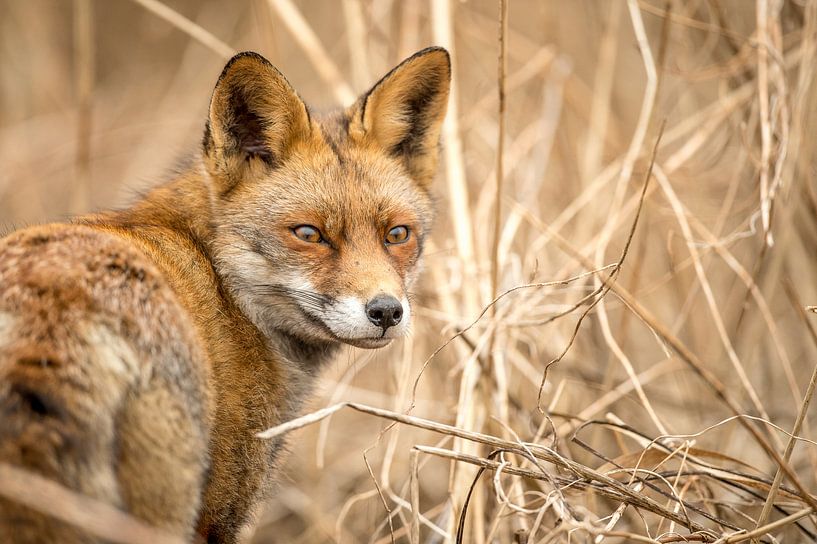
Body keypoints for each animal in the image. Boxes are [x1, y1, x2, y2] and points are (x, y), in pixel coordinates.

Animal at [0, 47, 450, 544]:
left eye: (397, 234)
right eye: (309, 234)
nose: (386, 311)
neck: (227, 290)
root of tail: (48, 312)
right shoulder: (219, 509)